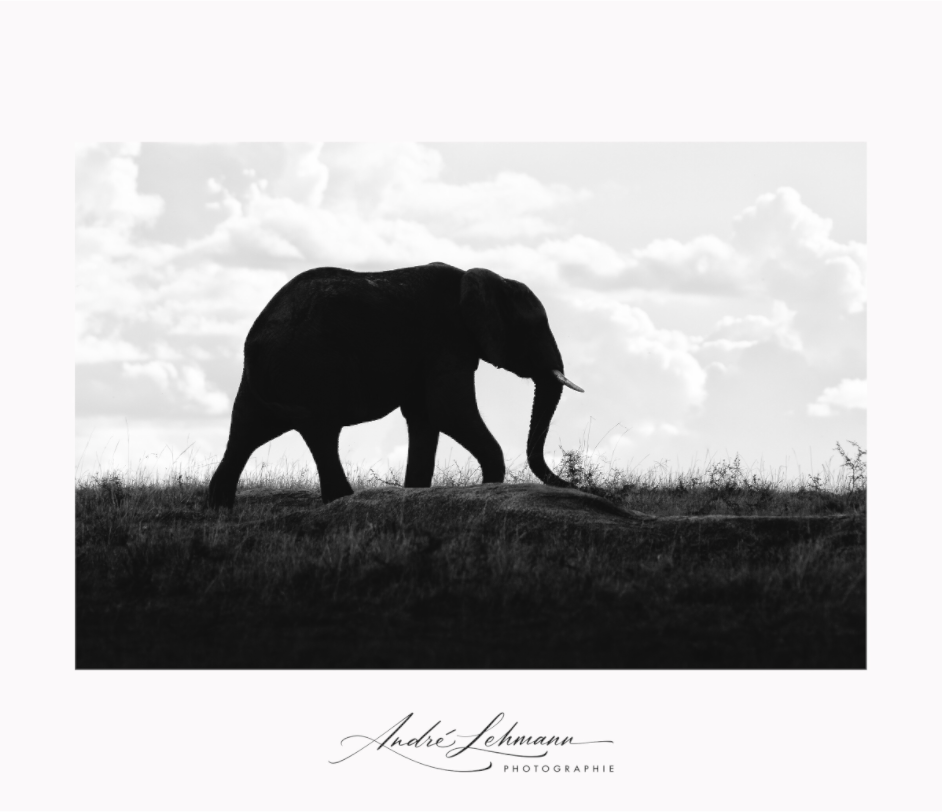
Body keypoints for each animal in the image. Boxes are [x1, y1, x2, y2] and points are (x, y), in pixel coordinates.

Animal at [207, 262, 583, 506]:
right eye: (534, 329)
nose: (578, 485)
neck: (482, 278)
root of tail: (256, 339)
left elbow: (424, 418)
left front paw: (415, 492)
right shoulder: (446, 339)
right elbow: (449, 411)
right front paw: (488, 489)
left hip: (267, 380)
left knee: (244, 431)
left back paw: (220, 505)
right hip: (311, 367)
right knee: (321, 431)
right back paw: (343, 501)